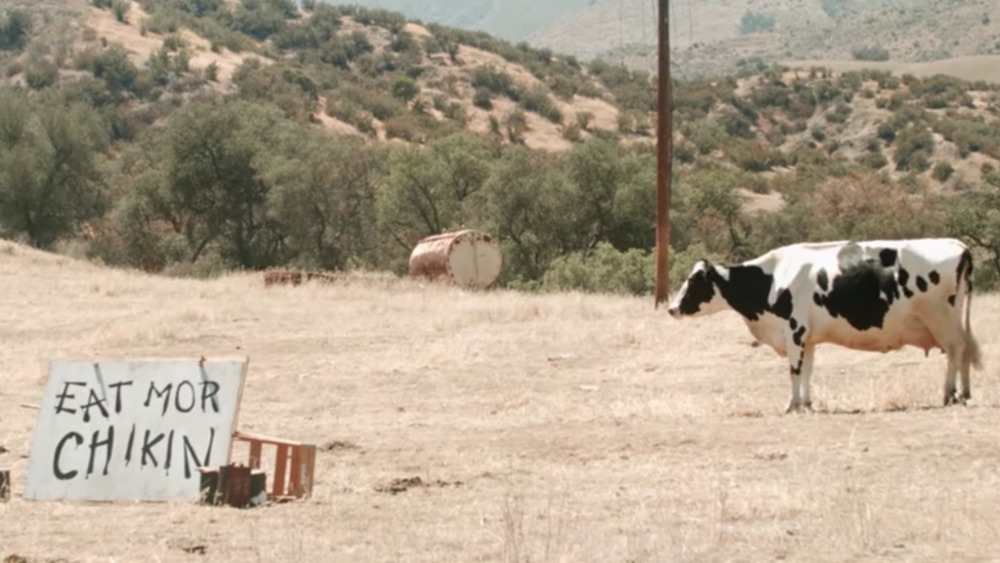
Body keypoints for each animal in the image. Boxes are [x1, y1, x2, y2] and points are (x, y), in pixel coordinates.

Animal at [668, 236, 980, 412]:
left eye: (694, 281)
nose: (672, 308)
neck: (774, 277)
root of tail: (958, 245)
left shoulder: (794, 332)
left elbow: (794, 371)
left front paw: (792, 405)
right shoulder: (808, 338)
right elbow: (807, 371)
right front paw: (806, 403)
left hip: (941, 318)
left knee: (955, 351)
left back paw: (950, 394)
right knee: (963, 351)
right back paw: (963, 393)